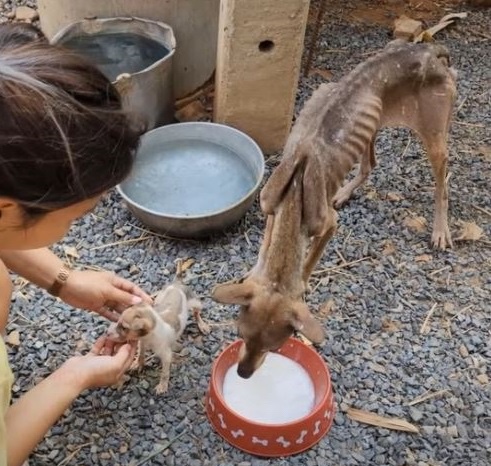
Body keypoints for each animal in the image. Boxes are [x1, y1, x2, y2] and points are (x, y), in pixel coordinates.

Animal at [106, 260, 209, 396]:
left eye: (124, 327)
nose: (107, 333)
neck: (150, 337)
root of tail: (177, 283)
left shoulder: (166, 356)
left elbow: (165, 373)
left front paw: (162, 386)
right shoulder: (142, 342)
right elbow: (141, 354)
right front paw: (137, 363)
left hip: (196, 302)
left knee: (197, 313)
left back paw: (202, 325)